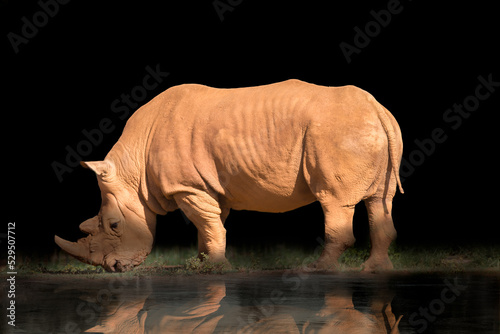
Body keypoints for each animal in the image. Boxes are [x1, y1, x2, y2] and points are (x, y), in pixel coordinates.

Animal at [54, 79, 404, 272]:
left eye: (114, 225)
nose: (113, 268)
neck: (133, 169)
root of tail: (377, 108)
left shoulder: (188, 186)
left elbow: (208, 224)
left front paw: (217, 267)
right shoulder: (206, 187)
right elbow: (210, 224)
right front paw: (202, 263)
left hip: (337, 132)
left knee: (333, 201)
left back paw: (320, 270)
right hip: (372, 130)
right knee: (380, 200)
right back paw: (376, 270)